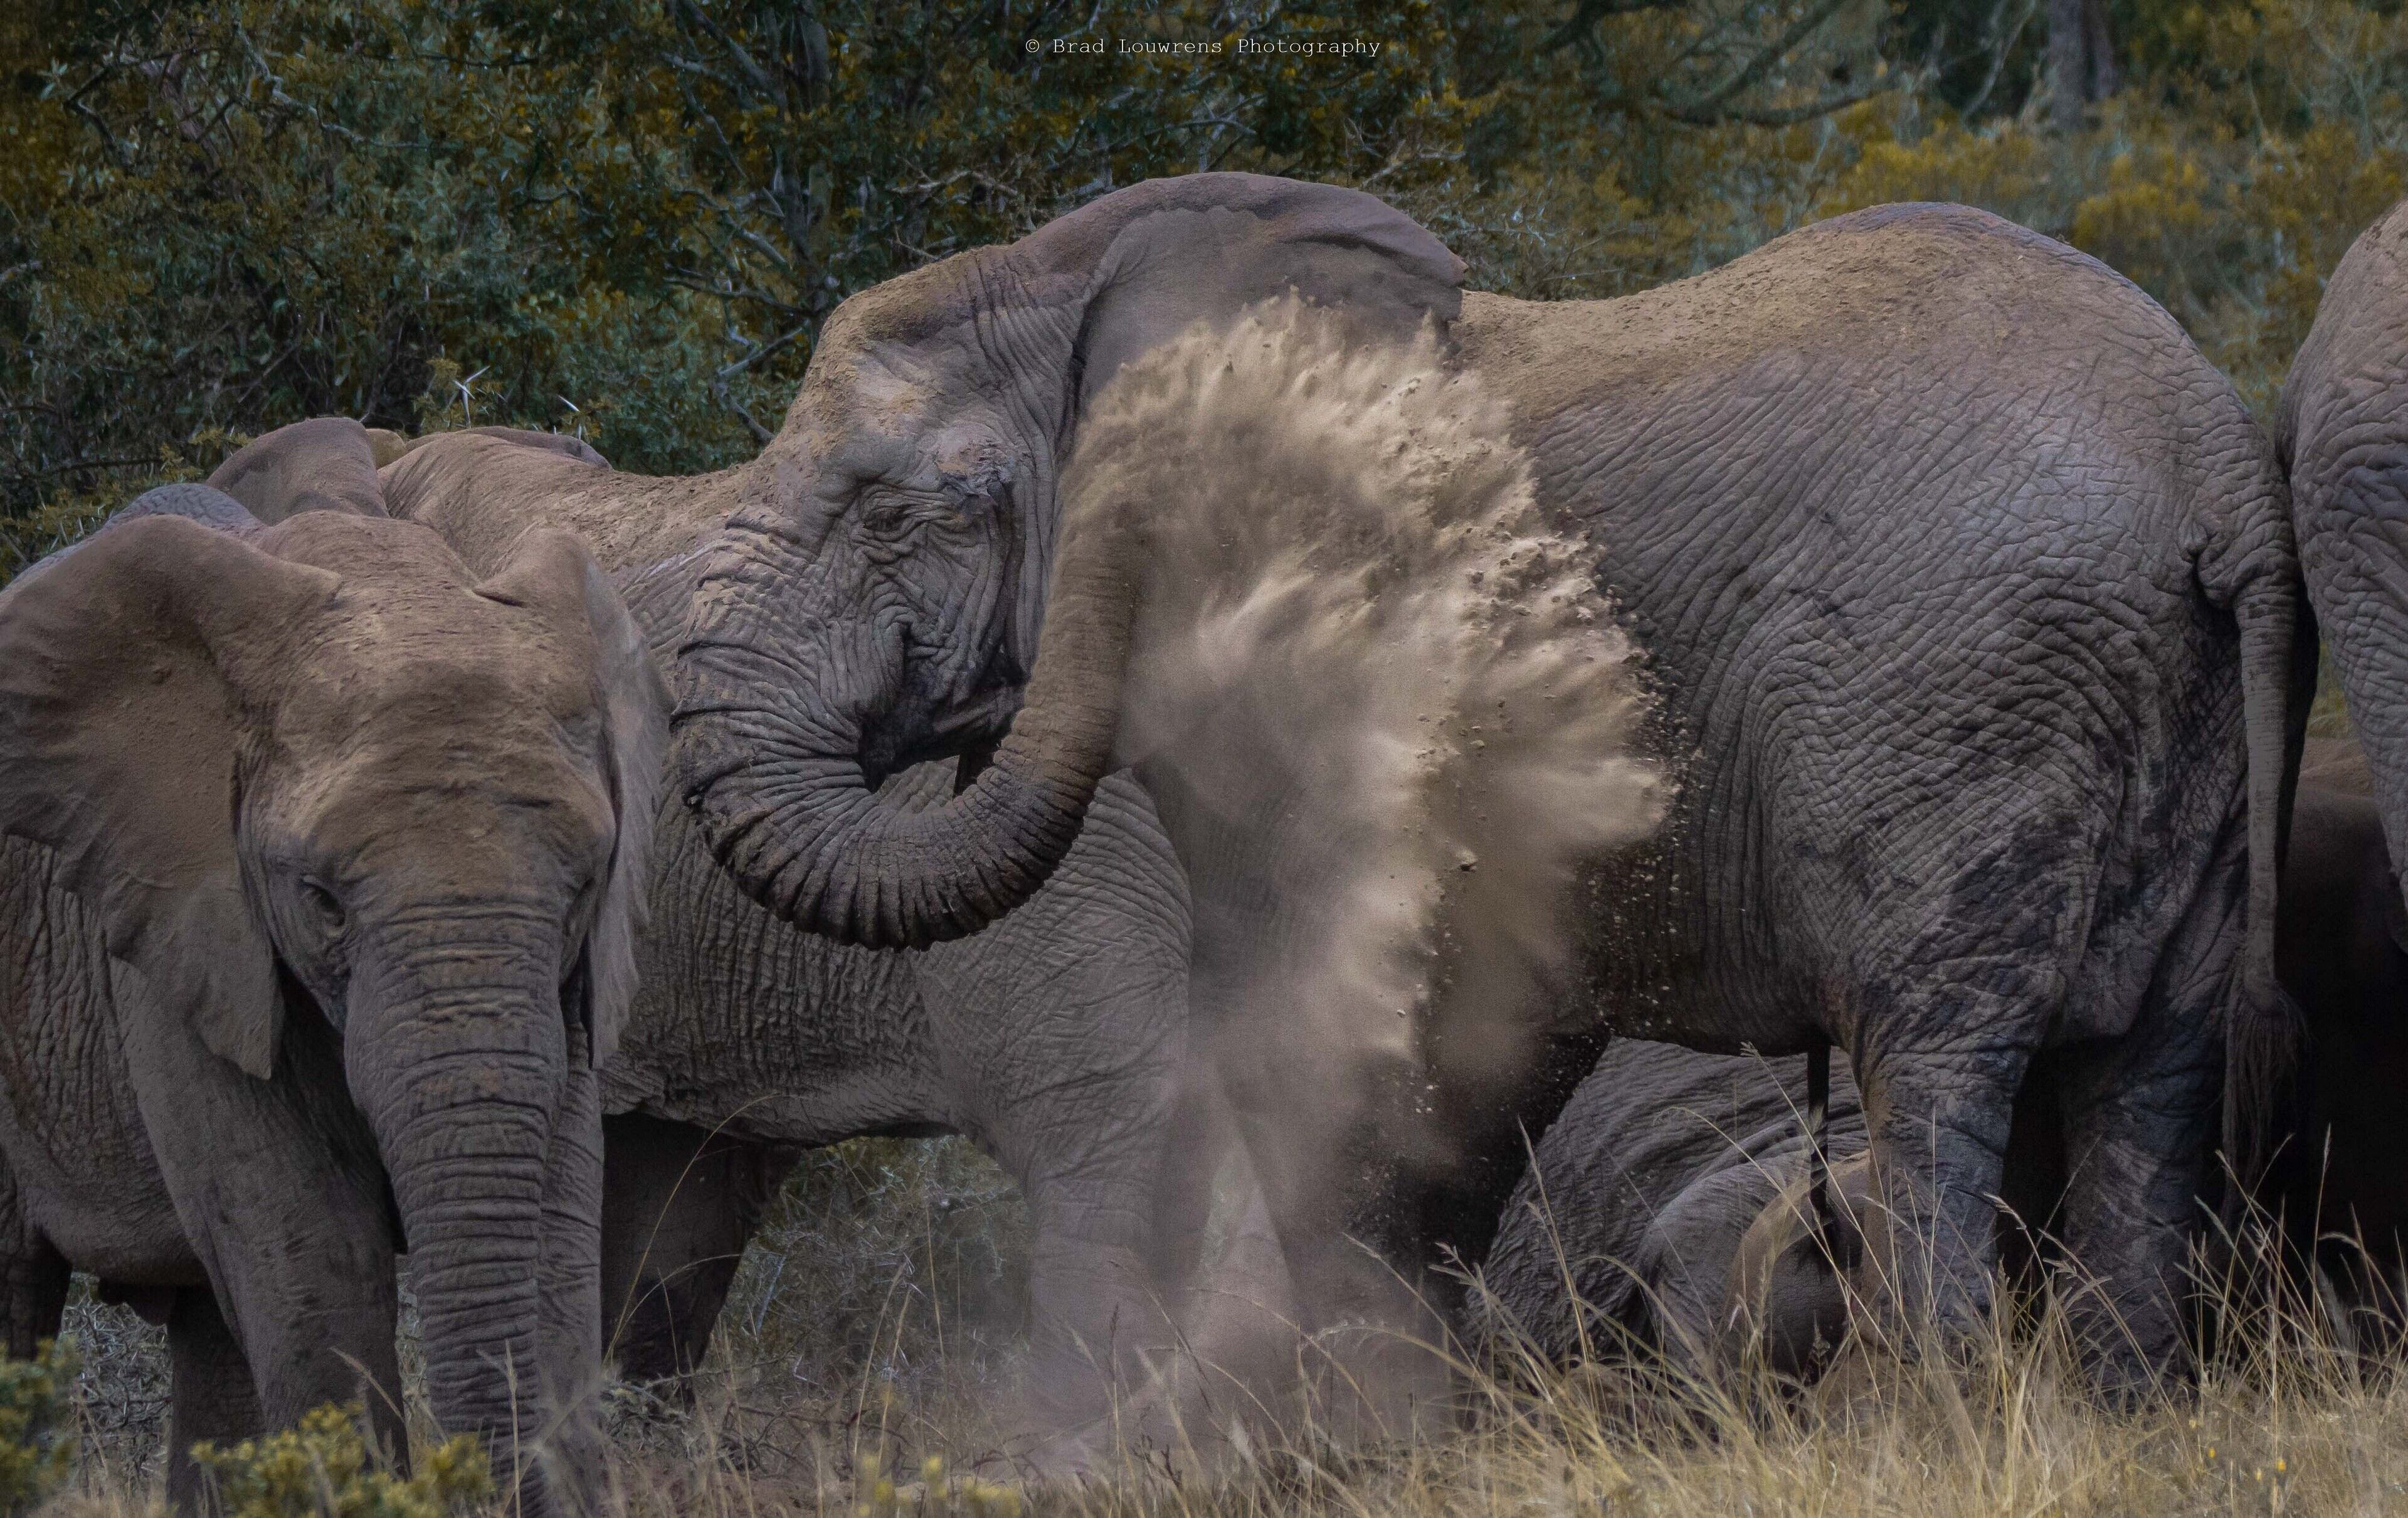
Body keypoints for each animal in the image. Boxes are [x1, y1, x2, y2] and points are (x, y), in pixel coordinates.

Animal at [656, 173, 2302, 1390]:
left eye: (894, 510)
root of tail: (2212, 451)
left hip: (1947, 700)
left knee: (1936, 1067)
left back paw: (1927, 1418)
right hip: (2181, 742)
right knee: (2146, 1080)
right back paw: (2115, 1404)